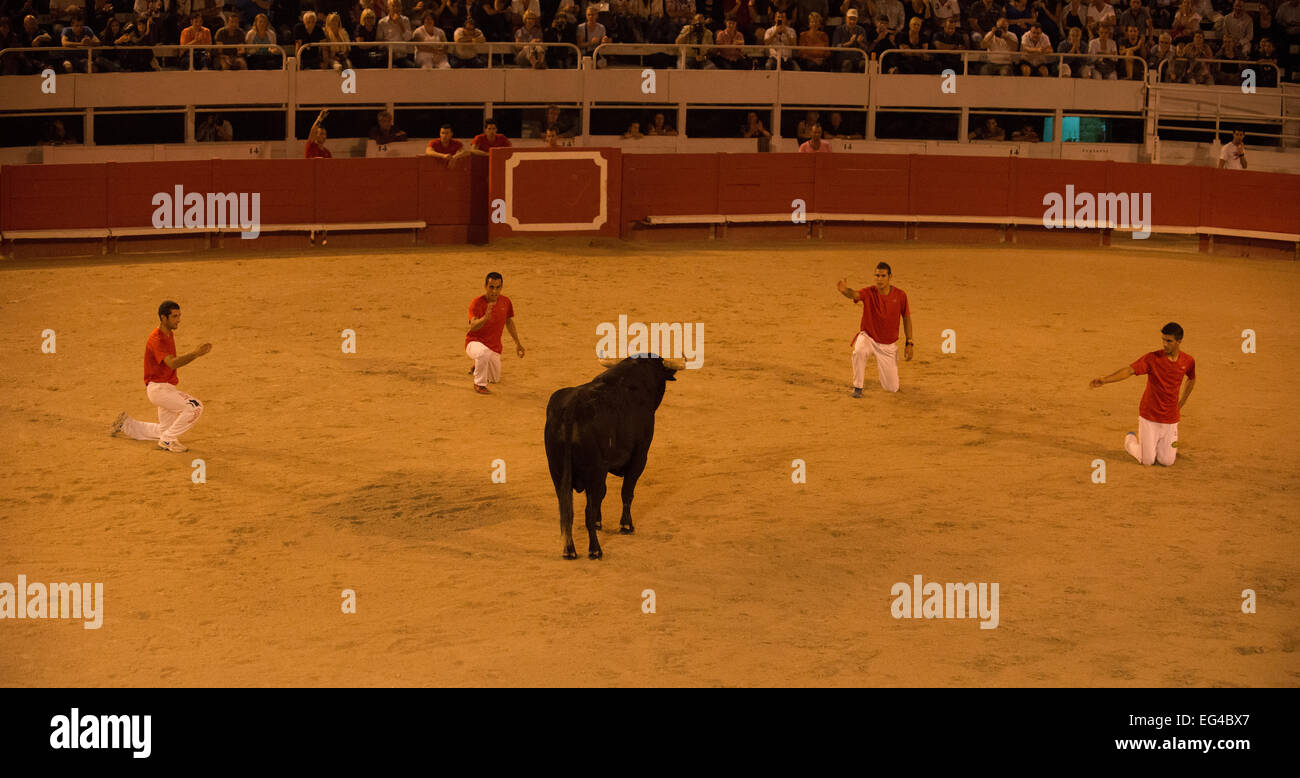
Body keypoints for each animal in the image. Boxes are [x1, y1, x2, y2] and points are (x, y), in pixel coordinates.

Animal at [543, 359, 681, 562]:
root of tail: (572, 409)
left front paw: (600, 522)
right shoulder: (640, 456)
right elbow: (627, 492)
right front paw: (626, 525)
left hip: (557, 472)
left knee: (567, 509)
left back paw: (569, 550)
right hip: (596, 470)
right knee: (587, 510)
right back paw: (595, 550)